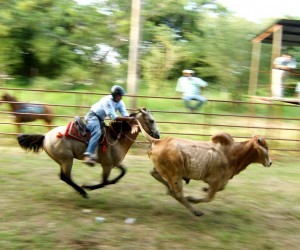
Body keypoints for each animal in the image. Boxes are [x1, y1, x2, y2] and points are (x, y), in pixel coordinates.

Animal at [17, 107, 161, 199]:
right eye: (152, 120)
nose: (158, 135)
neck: (116, 137)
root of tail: (45, 136)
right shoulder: (107, 165)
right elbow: (104, 182)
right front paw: (88, 187)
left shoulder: (114, 163)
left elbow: (122, 173)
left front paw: (108, 182)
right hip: (67, 160)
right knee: (65, 177)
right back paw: (83, 192)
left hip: (63, 161)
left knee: (64, 177)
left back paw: (81, 191)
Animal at [137, 120, 274, 216]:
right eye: (266, 148)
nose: (270, 162)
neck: (234, 153)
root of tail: (157, 141)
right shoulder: (216, 181)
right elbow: (209, 198)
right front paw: (192, 198)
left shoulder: (220, 181)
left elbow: (220, 189)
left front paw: (203, 189)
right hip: (175, 175)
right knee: (178, 194)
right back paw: (195, 210)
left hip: (166, 171)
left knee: (155, 174)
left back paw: (168, 188)